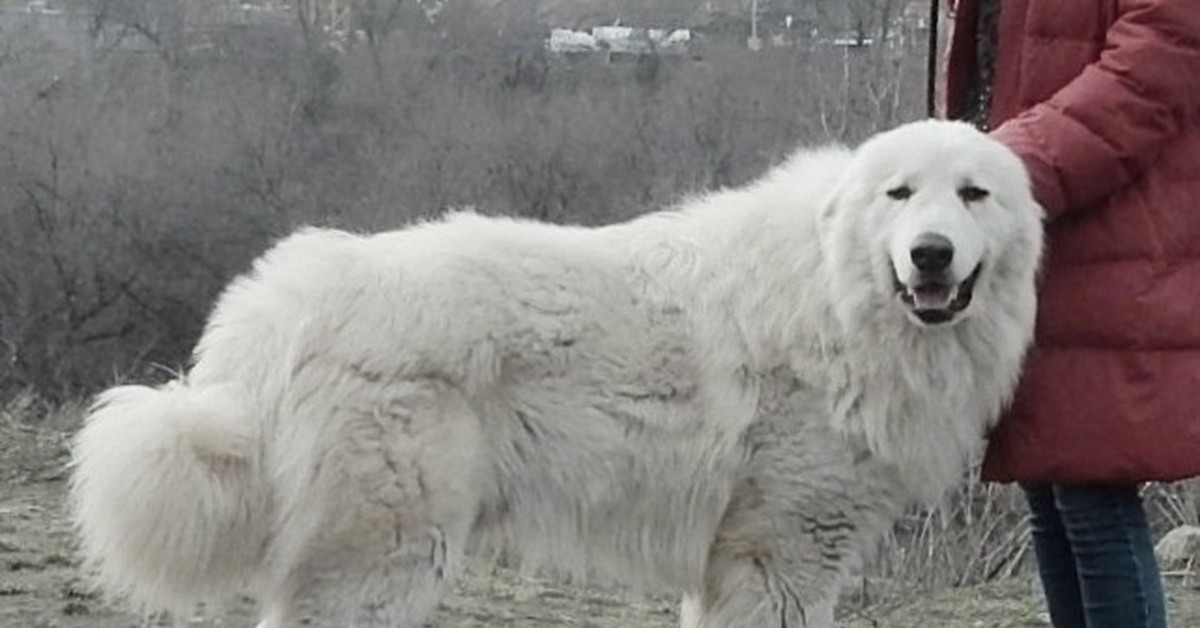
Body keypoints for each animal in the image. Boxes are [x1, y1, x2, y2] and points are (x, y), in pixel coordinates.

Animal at [70, 119, 1041, 628]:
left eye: (974, 195)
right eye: (900, 195)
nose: (930, 254)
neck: (835, 292)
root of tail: (277, 307)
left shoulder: (734, 563)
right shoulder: (784, 551)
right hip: (386, 557)